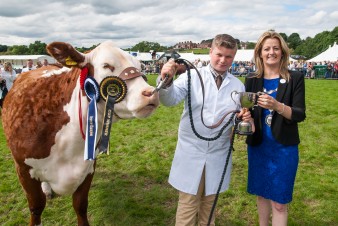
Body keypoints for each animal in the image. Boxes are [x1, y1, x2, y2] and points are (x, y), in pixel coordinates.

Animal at [1, 41, 160, 226]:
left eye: (140, 66)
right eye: (107, 65)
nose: (151, 93)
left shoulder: (88, 166)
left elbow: (80, 205)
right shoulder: (23, 169)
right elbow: (36, 207)